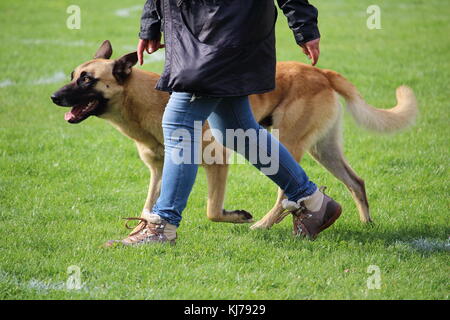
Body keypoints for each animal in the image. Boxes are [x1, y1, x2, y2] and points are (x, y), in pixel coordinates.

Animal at [51, 40, 416, 236]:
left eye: (87, 80)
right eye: (73, 75)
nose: (54, 97)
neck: (147, 100)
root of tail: (320, 71)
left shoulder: (216, 161)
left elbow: (212, 210)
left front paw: (238, 216)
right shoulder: (159, 168)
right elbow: (149, 204)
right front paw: (146, 229)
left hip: (284, 146)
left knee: (289, 193)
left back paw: (263, 226)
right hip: (322, 149)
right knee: (356, 182)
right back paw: (365, 223)